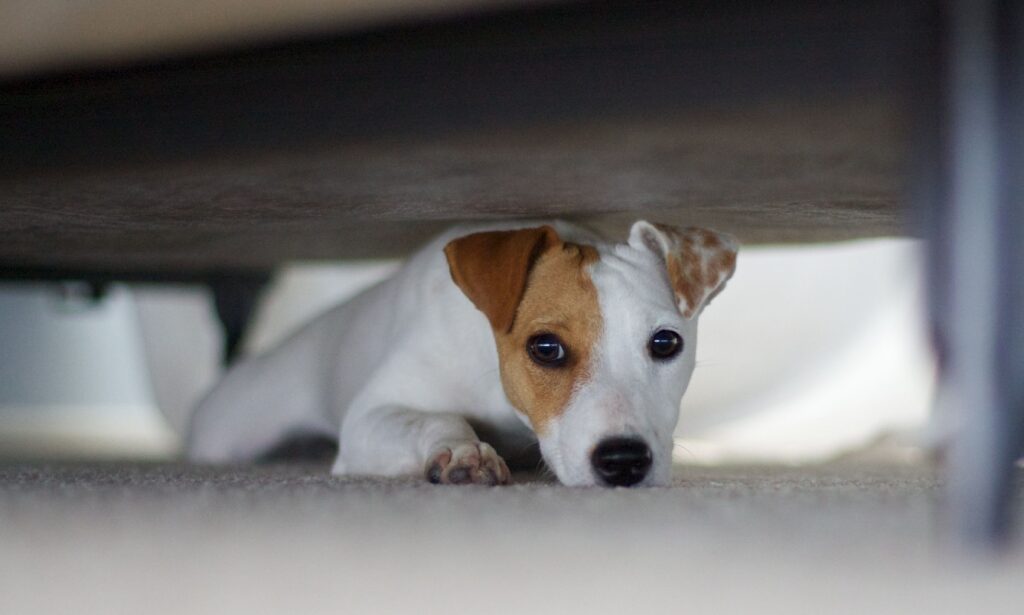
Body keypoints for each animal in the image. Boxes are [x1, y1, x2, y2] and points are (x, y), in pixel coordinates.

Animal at [186, 218, 737, 485]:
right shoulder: (371, 416)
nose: (624, 462)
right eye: (546, 348)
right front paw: (463, 452)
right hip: (228, 433)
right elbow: (435, 418)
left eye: (665, 343)